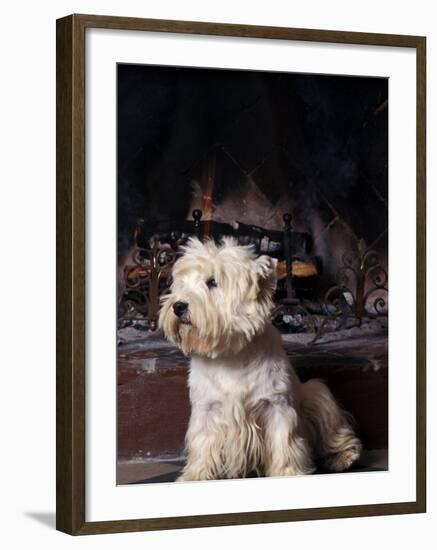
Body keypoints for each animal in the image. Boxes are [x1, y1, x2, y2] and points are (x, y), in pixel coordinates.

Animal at [158, 239, 360, 480]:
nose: (178, 306)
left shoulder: (276, 406)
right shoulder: (206, 409)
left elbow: (283, 442)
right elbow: (203, 443)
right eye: (181, 283)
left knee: (335, 431)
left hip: (317, 395)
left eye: (212, 282)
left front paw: (287, 473)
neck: (230, 354)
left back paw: (343, 458)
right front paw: (194, 475)